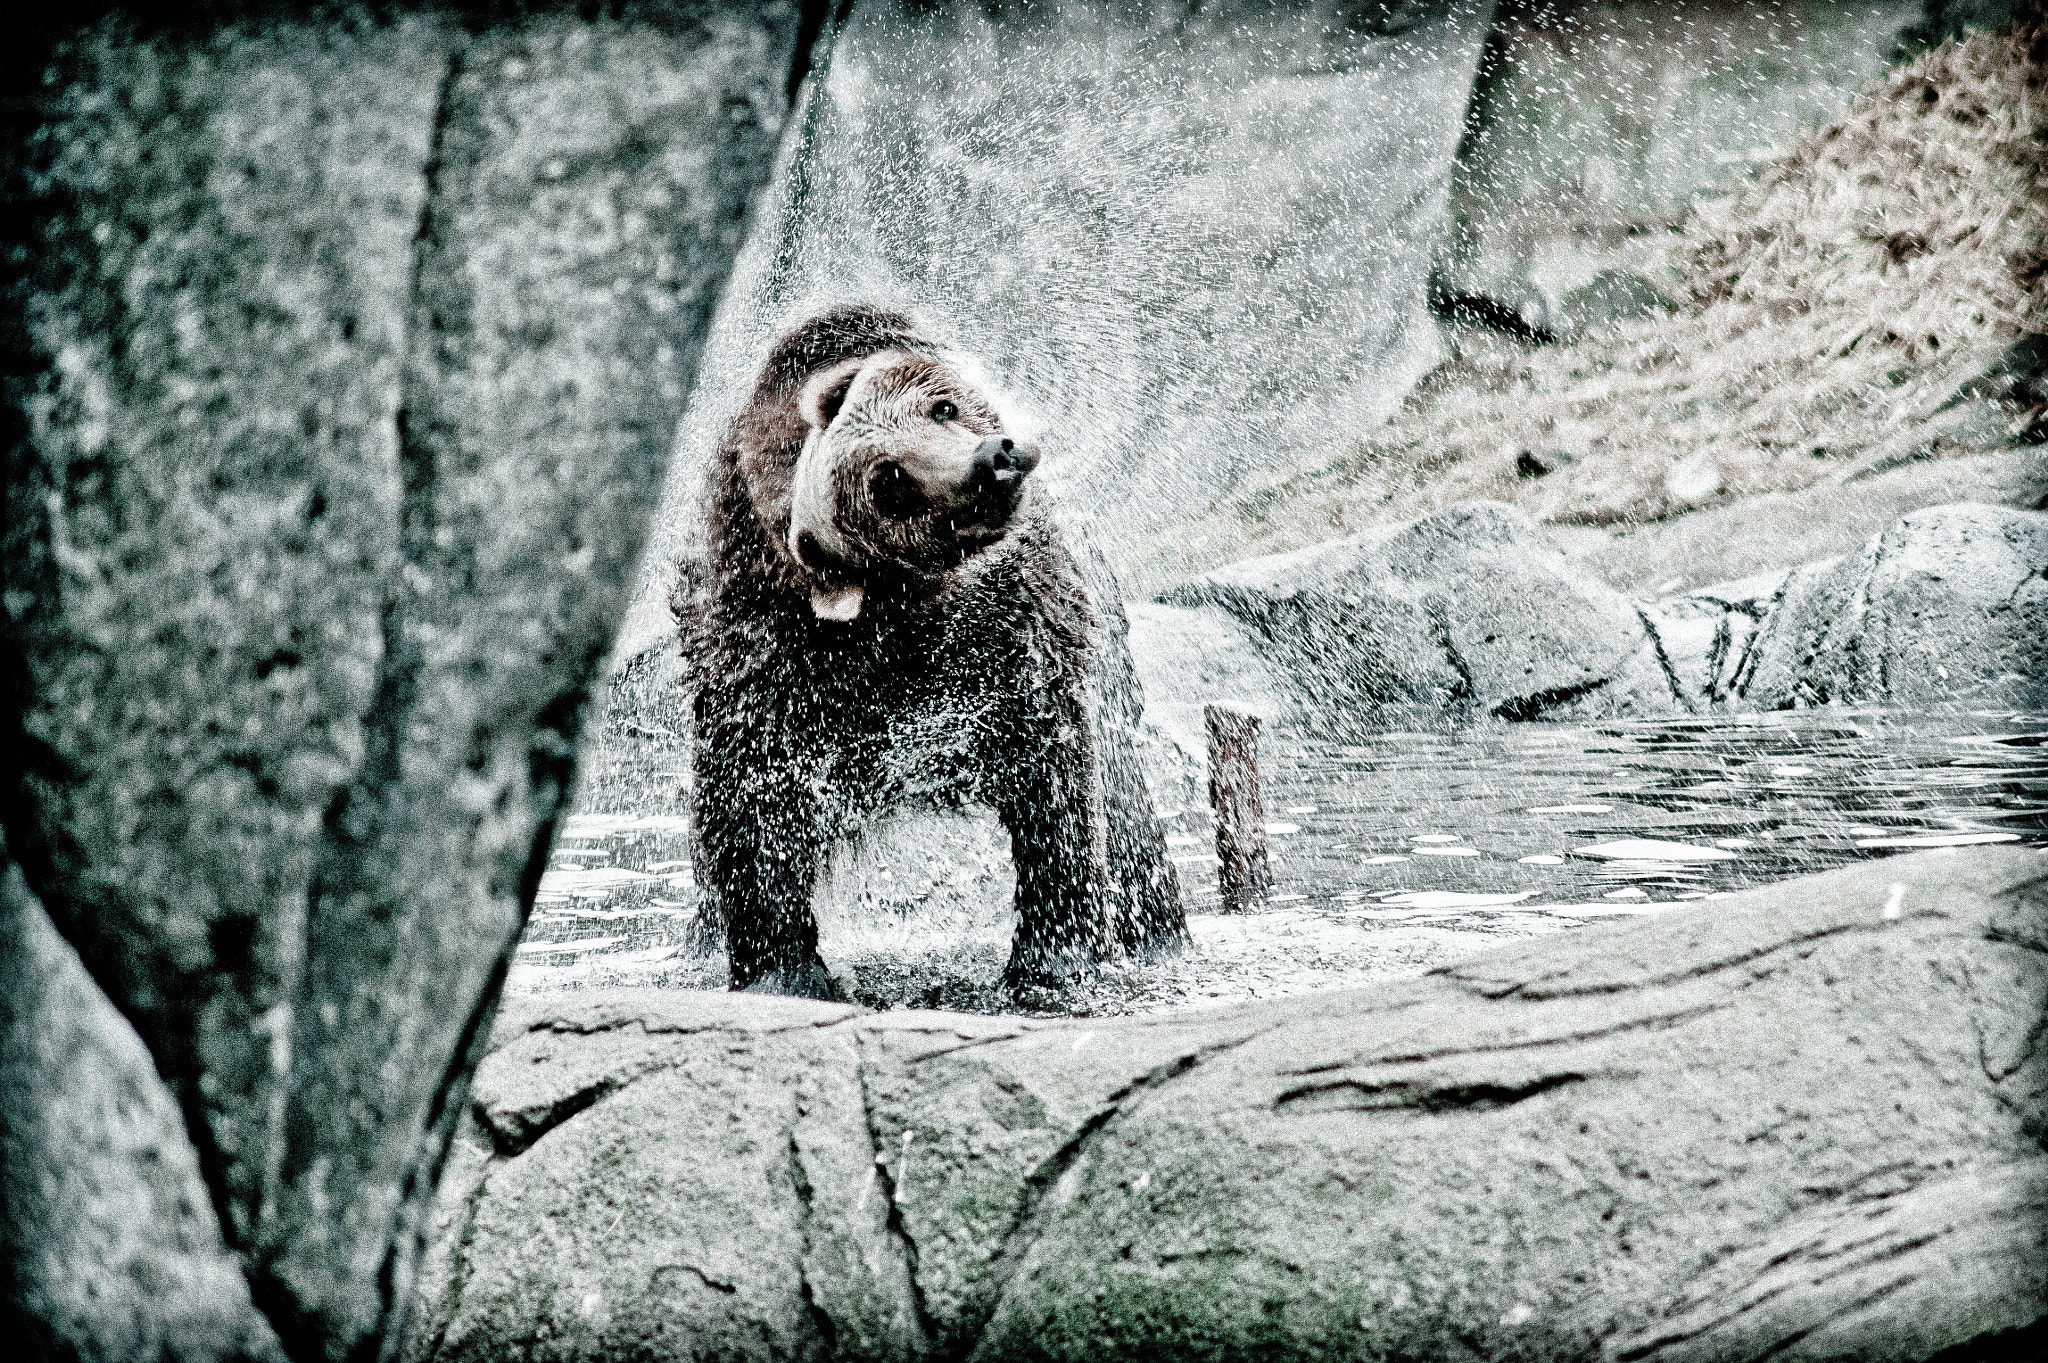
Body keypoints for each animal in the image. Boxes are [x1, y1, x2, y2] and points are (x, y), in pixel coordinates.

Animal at [674, 303, 1187, 997]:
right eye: (889, 480)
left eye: (942, 407)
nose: (991, 460)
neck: (901, 619)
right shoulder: (768, 653)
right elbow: (754, 809)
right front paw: (784, 971)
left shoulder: (1015, 628)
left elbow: (1052, 779)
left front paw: (1050, 957)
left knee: (1132, 828)